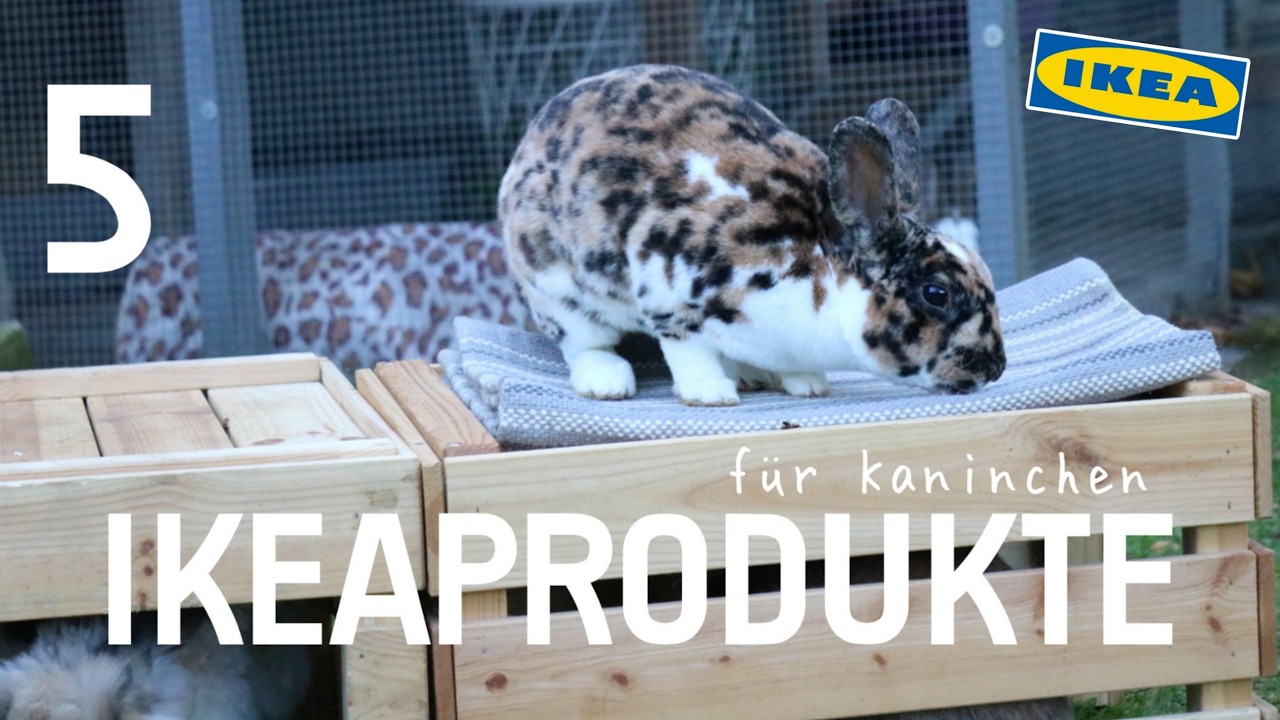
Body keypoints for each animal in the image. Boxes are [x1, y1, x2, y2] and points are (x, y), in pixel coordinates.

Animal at [500, 64, 1004, 406]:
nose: (995, 367)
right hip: (556, 291)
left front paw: (806, 384)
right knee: (583, 343)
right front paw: (710, 393)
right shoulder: (666, 290)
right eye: (936, 293)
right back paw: (607, 380)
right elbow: (687, 349)